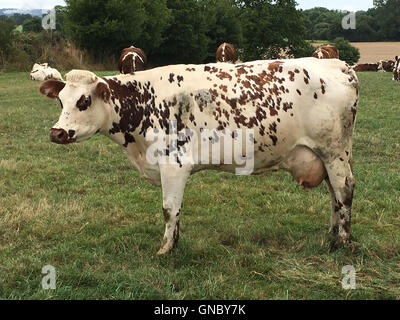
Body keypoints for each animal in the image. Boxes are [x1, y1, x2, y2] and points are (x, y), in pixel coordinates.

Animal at [39, 58, 360, 256]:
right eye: (60, 100)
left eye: (84, 100)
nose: (57, 132)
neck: (144, 102)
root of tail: (337, 64)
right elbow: (177, 210)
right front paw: (176, 241)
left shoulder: (173, 164)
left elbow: (169, 209)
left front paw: (165, 248)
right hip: (326, 156)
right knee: (333, 193)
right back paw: (332, 231)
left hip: (335, 151)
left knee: (343, 189)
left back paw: (343, 241)